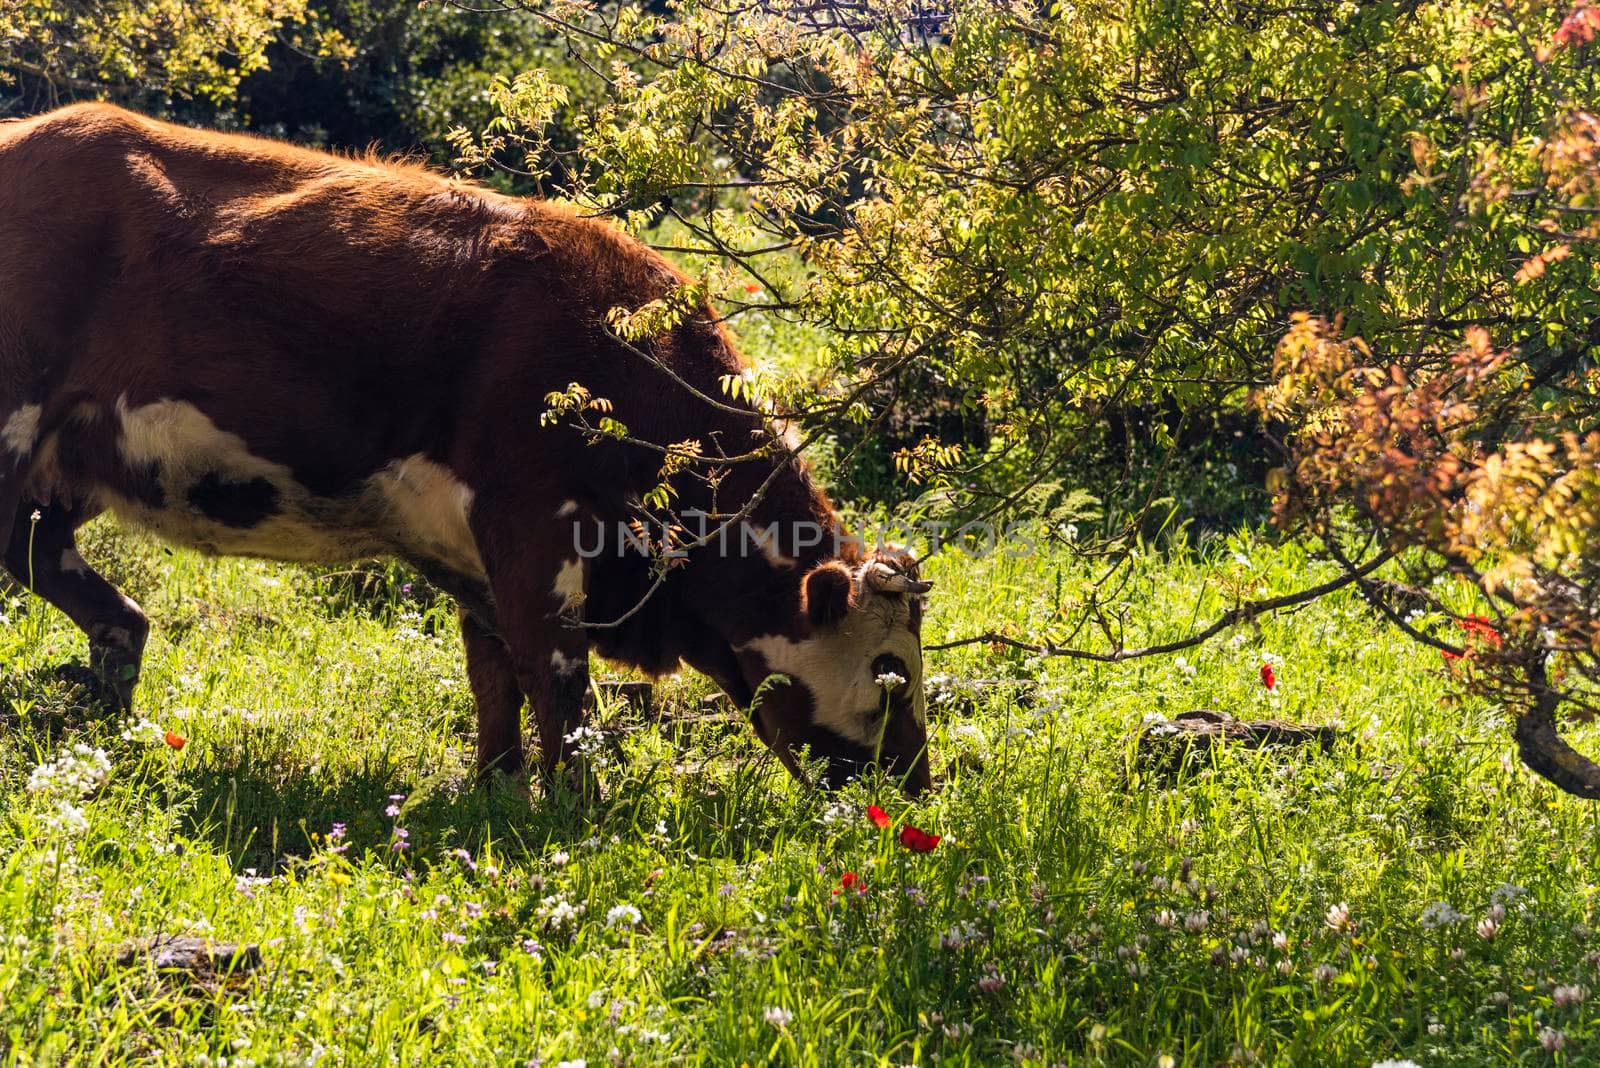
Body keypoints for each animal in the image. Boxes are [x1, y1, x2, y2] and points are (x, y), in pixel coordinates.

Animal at [0, 103, 934, 796]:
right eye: (890, 671)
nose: (919, 786)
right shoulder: (531, 521)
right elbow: (557, 679)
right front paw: (579, 802)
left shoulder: (470, 547)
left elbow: (494, 671)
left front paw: (499, 784)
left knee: (49, 561)